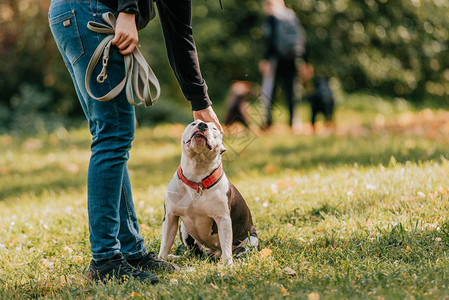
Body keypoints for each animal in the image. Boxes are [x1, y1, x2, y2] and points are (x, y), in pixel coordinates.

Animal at [158, 120, 258, 264]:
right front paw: (161, 260)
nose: (202, 125)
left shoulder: (223, 219)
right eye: (193, 123)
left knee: (237, 252)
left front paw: (227, 265)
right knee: (193, 253)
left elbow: (226, 245)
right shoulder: (170, 217)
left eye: (214, 128)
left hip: (251, 240)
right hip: (184, 229)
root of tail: (213, 254)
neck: (197, 179)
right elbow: (165, 243)